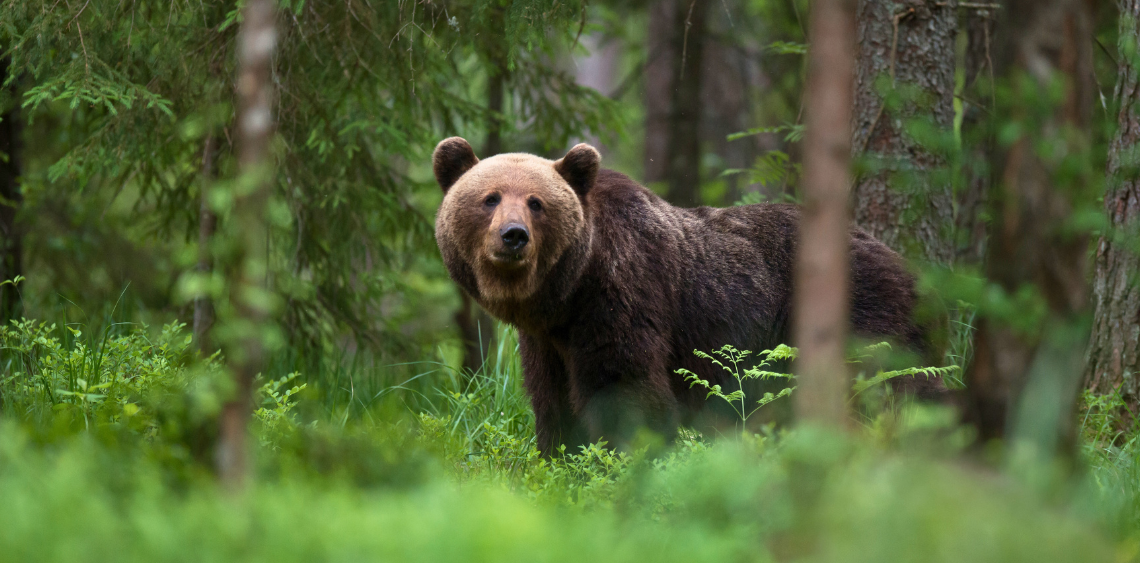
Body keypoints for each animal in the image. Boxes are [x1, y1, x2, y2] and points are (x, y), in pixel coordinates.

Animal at [430, 138, 939, 455]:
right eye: (490, 198)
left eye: (536, 203)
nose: (514, 236)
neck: (568, 291)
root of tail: (905, 264)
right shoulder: (548, 339)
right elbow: (552, 398)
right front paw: (560, 456)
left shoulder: (623, 292)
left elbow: (624, 384)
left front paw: (625, 457)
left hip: (862, 308)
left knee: (886, 384)